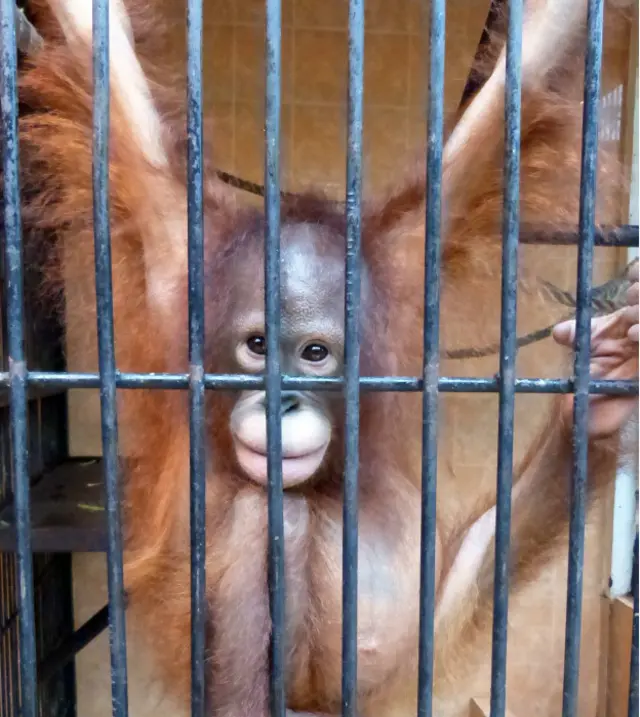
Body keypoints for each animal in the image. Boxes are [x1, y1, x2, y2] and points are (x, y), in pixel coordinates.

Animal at [9, 0, 639, 715]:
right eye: (258, 346)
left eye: (315, 353)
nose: (281, 401)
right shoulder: (175, 250)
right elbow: (100, 54)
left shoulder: (403, 261)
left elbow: (528, 69)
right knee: (264, 517)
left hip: (403, 672)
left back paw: (593, 409)